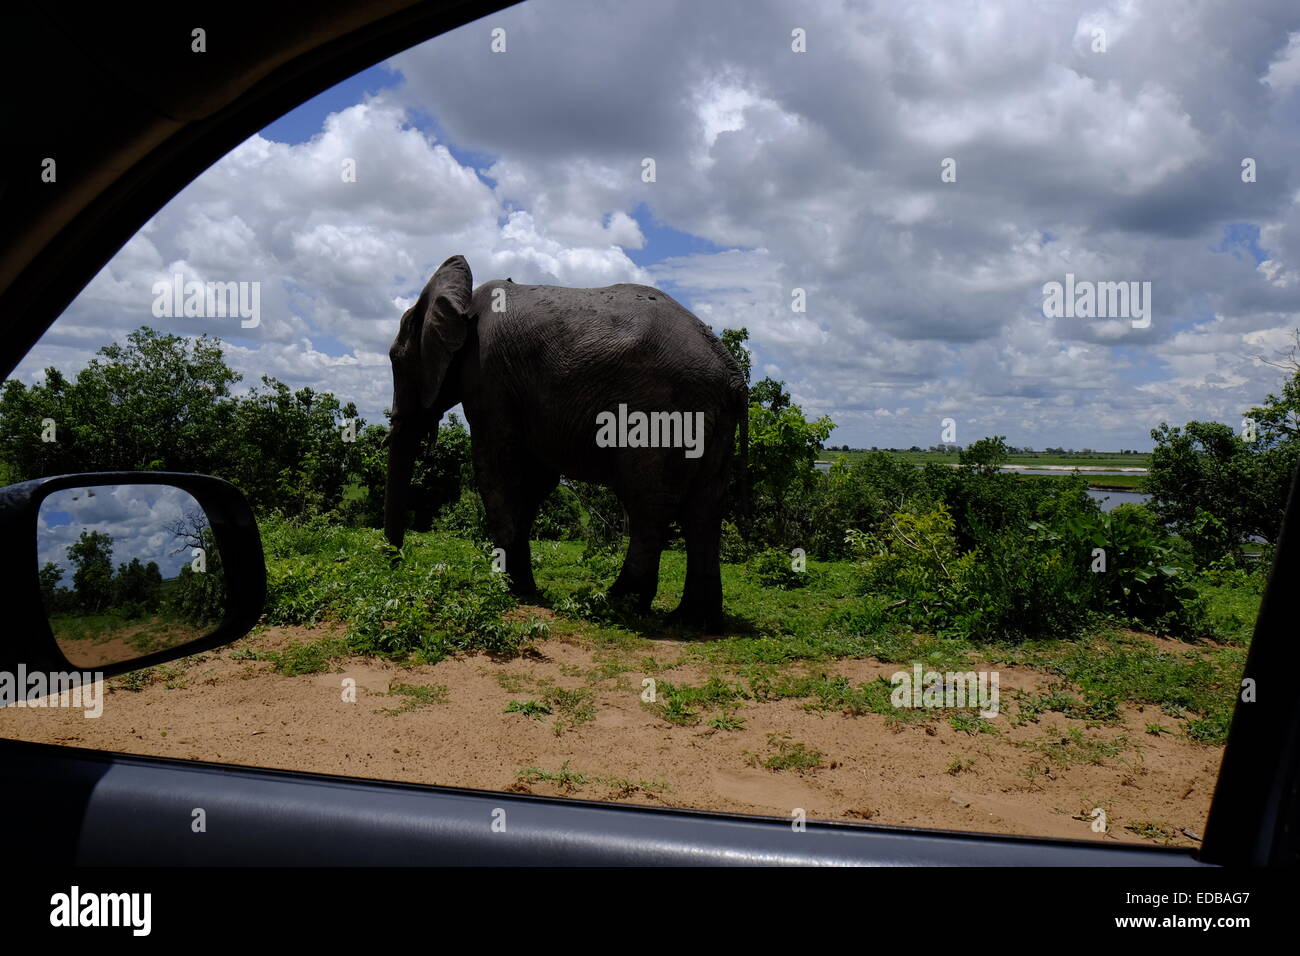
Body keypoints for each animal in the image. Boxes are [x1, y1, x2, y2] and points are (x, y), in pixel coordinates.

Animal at [379, 254, 748, 632]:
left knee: (648, 503)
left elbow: (497, 472)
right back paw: (692, 621)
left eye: (396, 359)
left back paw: (615, 604)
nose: (394, 563)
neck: (461, 301)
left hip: (664, 412)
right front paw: (523, 587)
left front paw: (507, 588)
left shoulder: (488, 376)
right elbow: (534, 482)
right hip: (710, 420)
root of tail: (733, 376)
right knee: (704, 508)